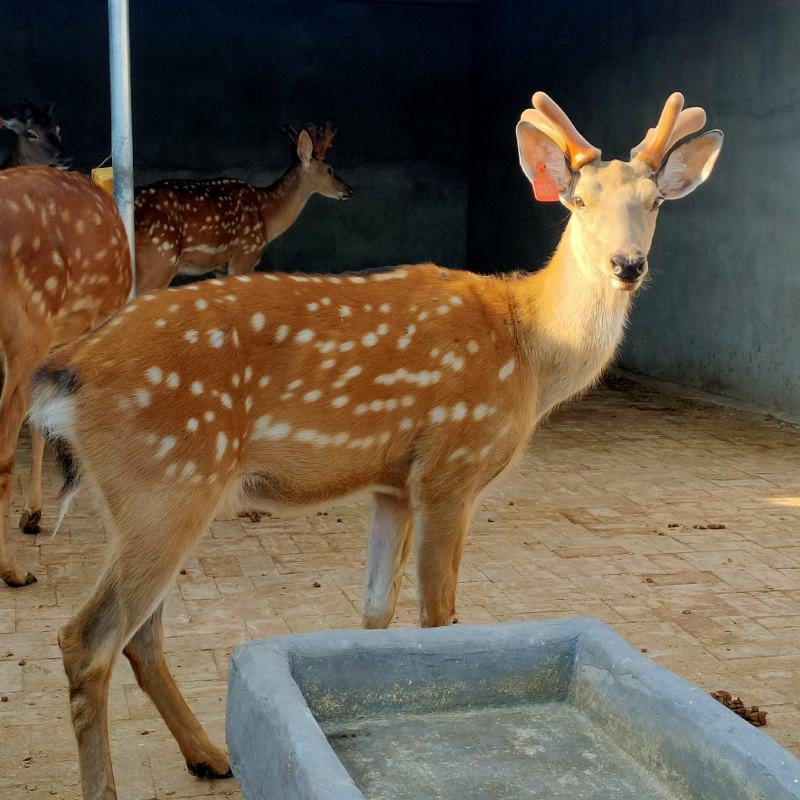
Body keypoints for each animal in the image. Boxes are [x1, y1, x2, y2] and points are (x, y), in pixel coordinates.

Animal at [133, 122, 353, 294]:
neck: (266, 215)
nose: (349, 190)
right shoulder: (246, 252)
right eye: (329, 170)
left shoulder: (220, 267)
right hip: (161, 257)